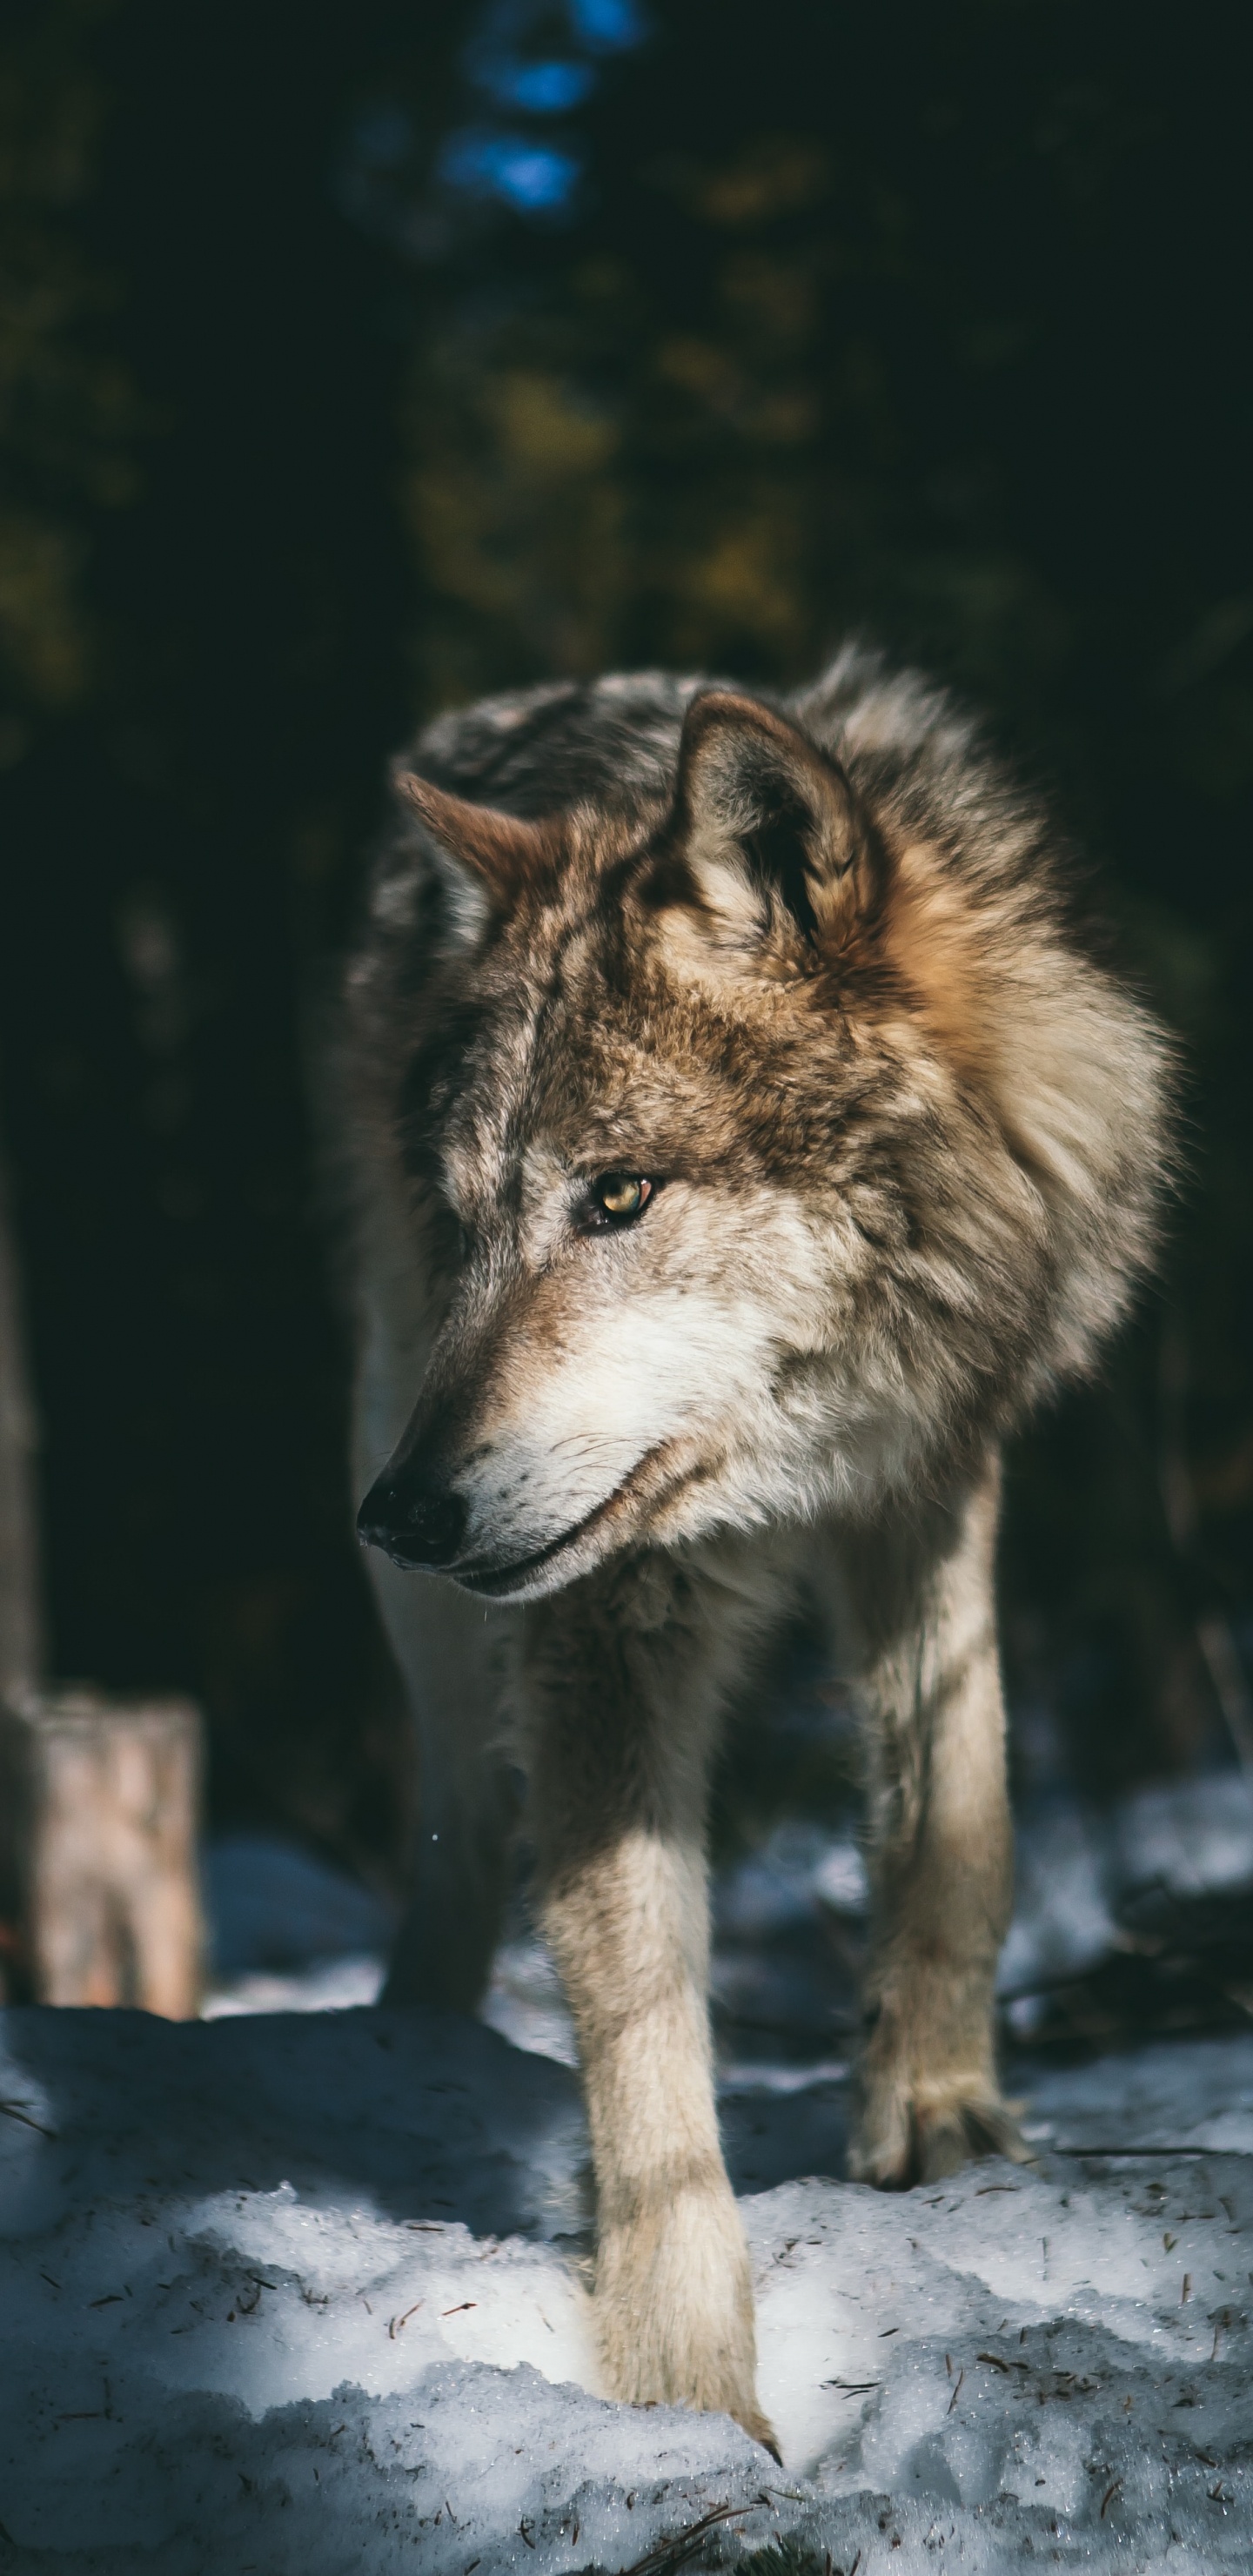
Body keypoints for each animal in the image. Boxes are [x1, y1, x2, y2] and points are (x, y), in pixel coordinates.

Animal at [343, 646, 1173, 2452]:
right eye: (472, 1222)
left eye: (618, 1196)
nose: (402, 1511)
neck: (794, 1450)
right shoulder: (602, 1613)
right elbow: (641, 2022)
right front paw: (685, 2398)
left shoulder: (933, 1473)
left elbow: (959, 1816)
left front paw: (937, 2118)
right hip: (395, 1470)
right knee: (458, 1829)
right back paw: (399, 2044)